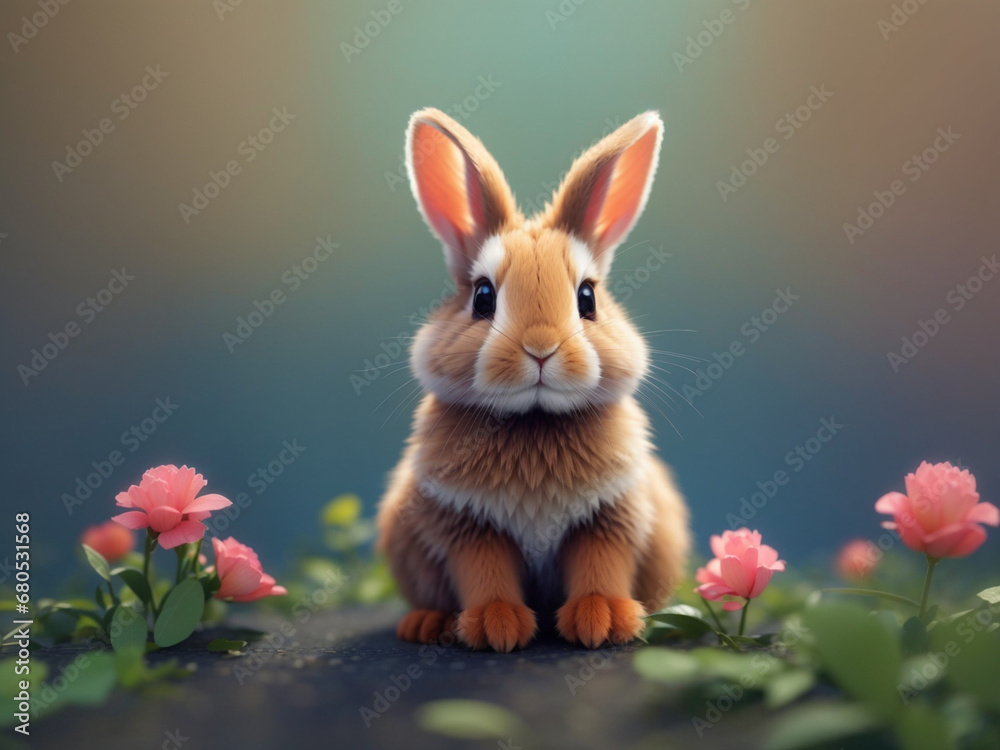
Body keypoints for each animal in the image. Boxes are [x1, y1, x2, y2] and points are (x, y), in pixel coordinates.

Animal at [375, 108, 690, 652]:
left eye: (587, 298)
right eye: (482, 296)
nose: (540, 348)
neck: (534, 420)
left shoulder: (609, 519)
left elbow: (601, 567)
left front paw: (602, 621)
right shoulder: (467, 526)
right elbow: (485, 573)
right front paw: (495, 626)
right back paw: (427, 624)